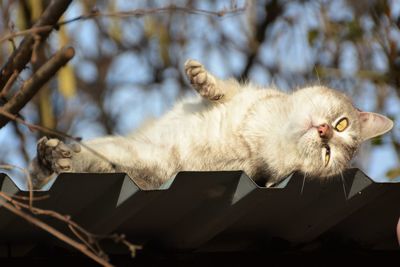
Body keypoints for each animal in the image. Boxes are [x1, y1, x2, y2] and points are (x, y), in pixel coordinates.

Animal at [28, 60, 394, 191]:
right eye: (341, 124)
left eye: (327, 155)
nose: (323, 132)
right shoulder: (246, 95)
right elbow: (223, 90)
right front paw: (202, 79)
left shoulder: (160, 161)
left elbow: (111, 163)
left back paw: (51, 159)